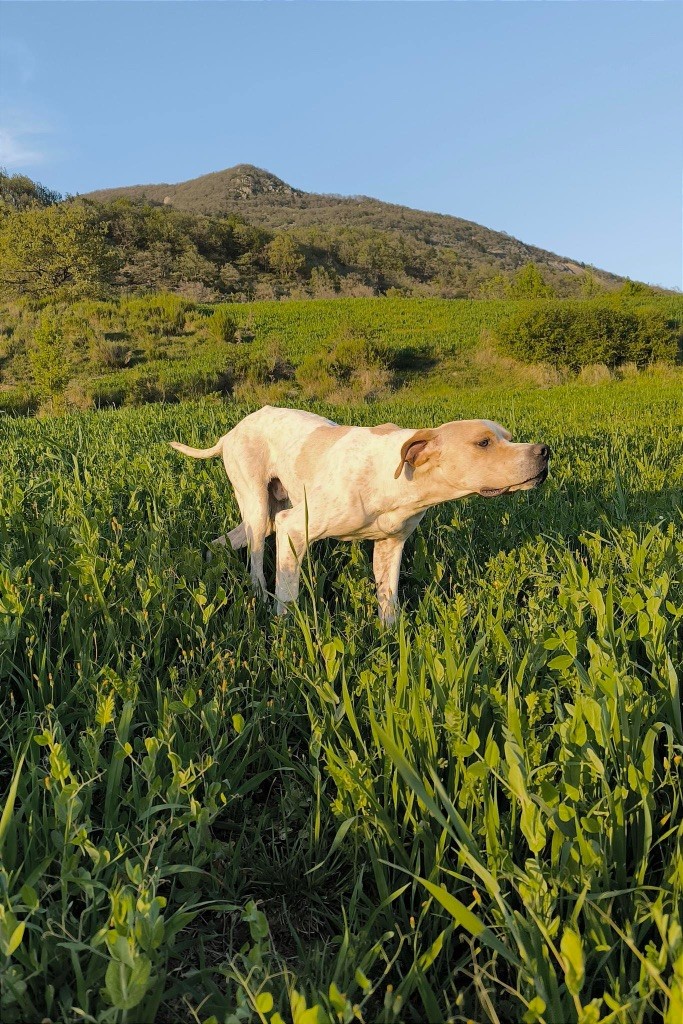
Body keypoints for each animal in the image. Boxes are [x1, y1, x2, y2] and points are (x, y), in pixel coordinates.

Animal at [171, 403, 548, 618]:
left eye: (509, 437)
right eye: (483, 443)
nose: (544, 451)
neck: (395, 477)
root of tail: (232, 431)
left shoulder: (390, 546)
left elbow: (388, 600)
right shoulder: (293, 529)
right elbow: (288, 597)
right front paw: (286, 636)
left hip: (266, 516)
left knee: (222, 542)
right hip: (261, 509)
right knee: (256, 562)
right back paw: (258, 596)